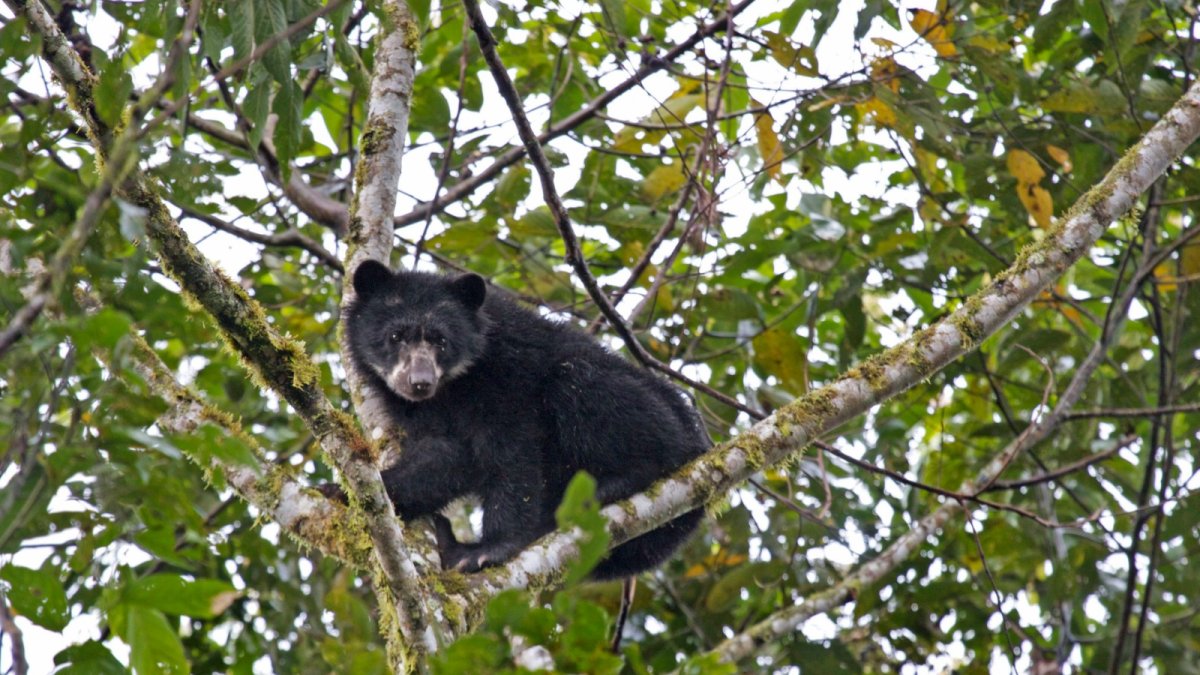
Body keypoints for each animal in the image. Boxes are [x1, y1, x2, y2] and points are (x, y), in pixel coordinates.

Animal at [342, 259, 708, 580]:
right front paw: (347, 492)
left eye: (441, 341)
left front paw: (488, 550)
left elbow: (513, 456)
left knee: (577, 382)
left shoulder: (510, 376)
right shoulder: (422, 413)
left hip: (653, 416)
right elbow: (445, 455)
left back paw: (615, 483)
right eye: (395, 336)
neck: (457, 386)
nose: (419, 383)